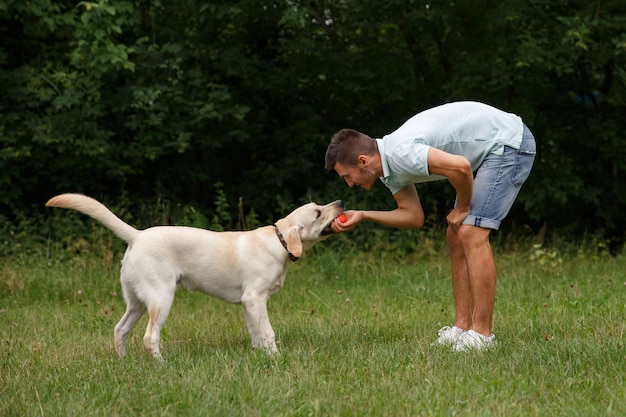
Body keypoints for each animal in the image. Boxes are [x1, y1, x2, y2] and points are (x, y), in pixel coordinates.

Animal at [47, 193, 344, 360]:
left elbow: (255, 334)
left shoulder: (248, 304)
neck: (279, 241)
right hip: (161, 298)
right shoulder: (256, 299)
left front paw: (261, 357)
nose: (341, 202)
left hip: (137, 302)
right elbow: (268, 333)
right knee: (149, 337)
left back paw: (123, 362)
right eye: (318, 212)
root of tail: (137, 235)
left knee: (120, 330)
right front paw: (276, 358)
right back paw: (161, 365)